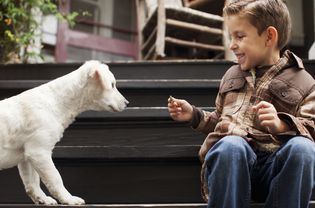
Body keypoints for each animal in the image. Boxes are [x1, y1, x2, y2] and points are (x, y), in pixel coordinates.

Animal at [0, 60, 130, 205]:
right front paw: (69, 199)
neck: (56, 102)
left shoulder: (27, 154)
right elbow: (56, 178)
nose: (127, 103)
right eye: (112, 85)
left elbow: (32, 183)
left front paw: (43, 199)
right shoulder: (39, 151)